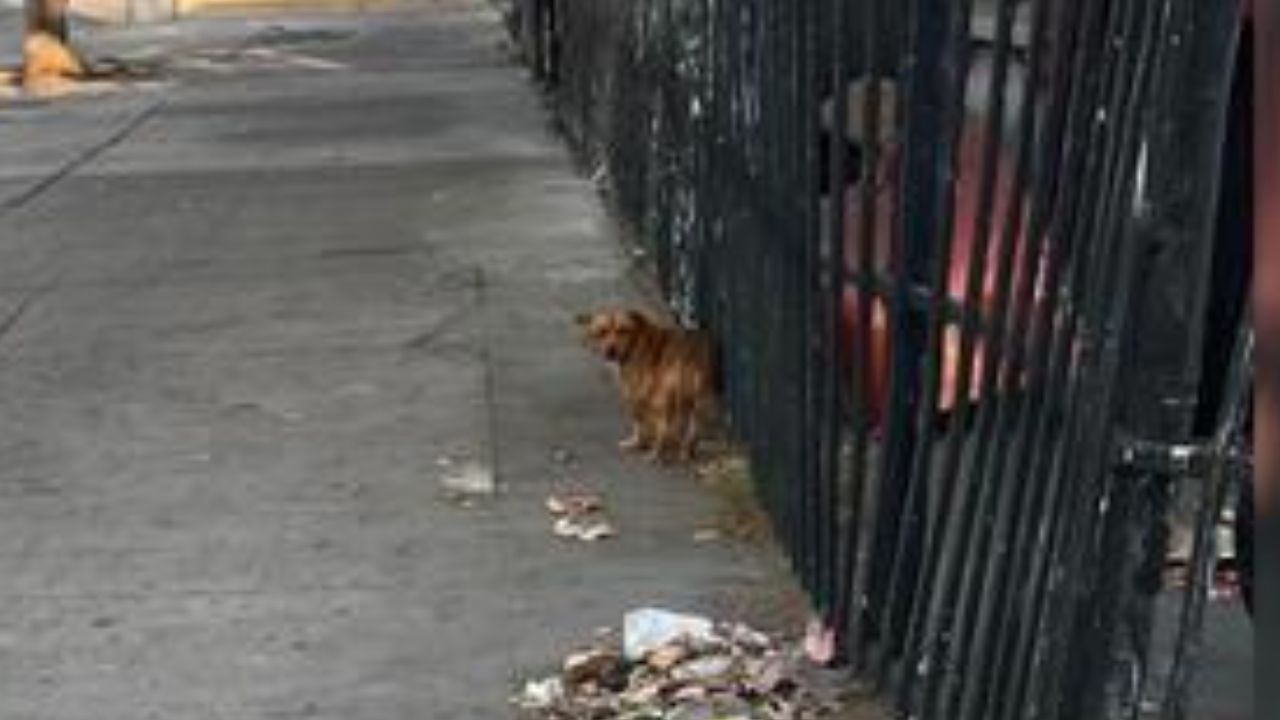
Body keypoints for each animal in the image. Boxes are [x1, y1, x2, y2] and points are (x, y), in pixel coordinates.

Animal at [576, 307, 716, 458]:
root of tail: (687, 355)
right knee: (693, 428)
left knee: (663, 428)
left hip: (663, 396)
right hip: (696, 398)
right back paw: (687, 451)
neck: (636, 339)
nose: (610, 351)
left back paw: (655, 453)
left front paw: (637, 442)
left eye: (623, 330)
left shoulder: (636, 389)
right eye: (602, 332)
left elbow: (638, 421)